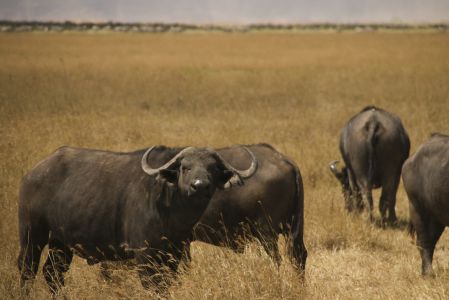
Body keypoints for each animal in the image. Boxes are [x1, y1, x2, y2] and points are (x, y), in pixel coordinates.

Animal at [17, 145, 256, 292]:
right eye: (185, 167)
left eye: (212, 168)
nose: (199, 186)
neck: (172, 212)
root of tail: (33, 173)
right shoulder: (144, 256)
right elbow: (153, 286)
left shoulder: (174, 255)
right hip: (32, 236)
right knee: (27, 270)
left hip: (61, 243)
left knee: (53, 273)